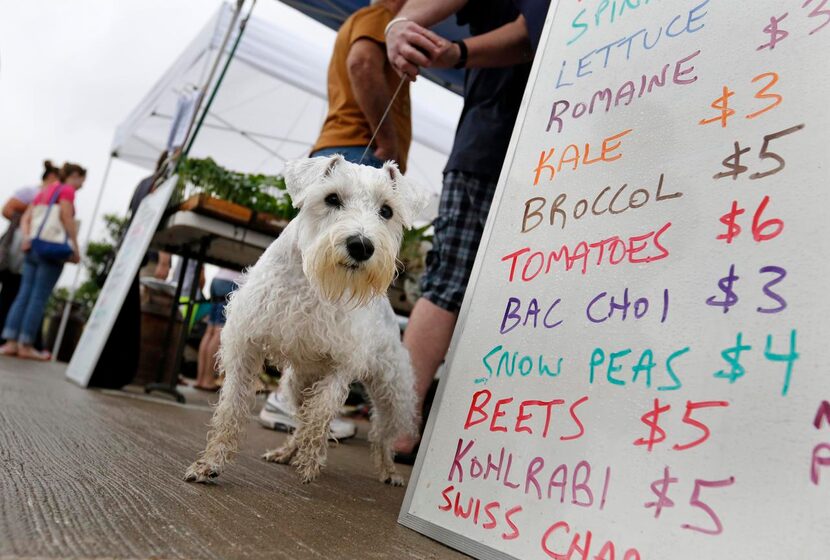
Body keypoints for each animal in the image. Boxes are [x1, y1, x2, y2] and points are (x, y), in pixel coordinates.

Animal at [183, 154, 428, 486]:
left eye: (387, 210)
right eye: (332, 198)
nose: (361, 246)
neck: (310, 281)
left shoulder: (341, 365)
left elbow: (320, 413)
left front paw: (311, 461)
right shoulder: (245, 348)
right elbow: (230, 411)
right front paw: (209, 463)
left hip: (392, 393)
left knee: (382, 437)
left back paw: (388, 470)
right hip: (300, 383)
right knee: (299, 420)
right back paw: (286, 452)